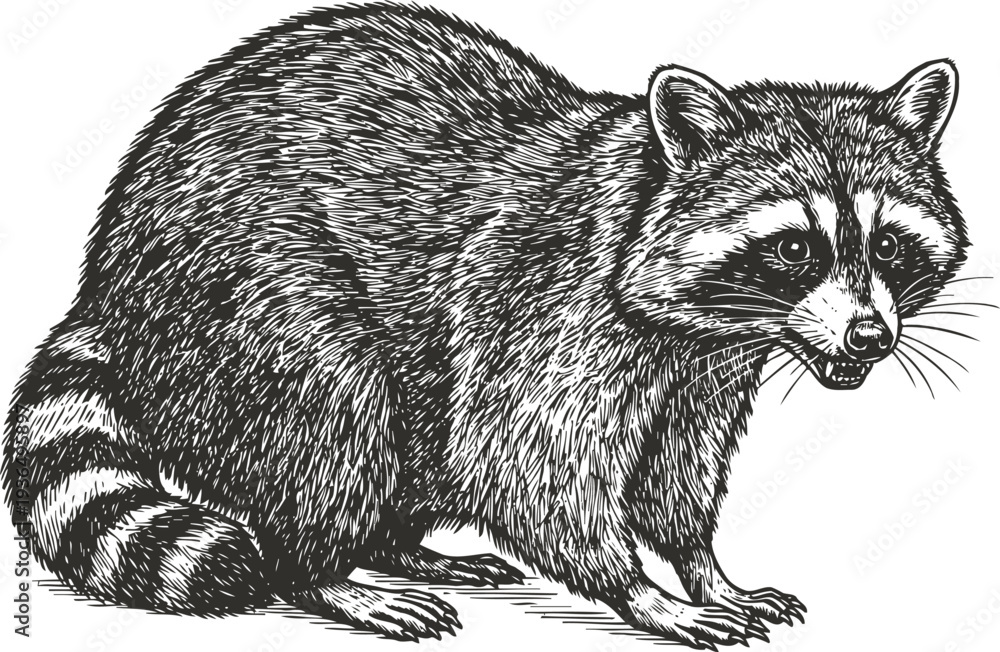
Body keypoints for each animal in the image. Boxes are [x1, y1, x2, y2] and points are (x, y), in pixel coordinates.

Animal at [3, 2, 966, 648]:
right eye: (796, 248)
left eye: (888, 243)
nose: (870, 337)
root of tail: (108, 284)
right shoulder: (548, 310)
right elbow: (520, 462)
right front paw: (642, 590)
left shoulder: (704, 371)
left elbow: (676, 471)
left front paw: (702, 566)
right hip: (244, 292)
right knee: (332, 416)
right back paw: (325, 570)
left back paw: (400, 547)